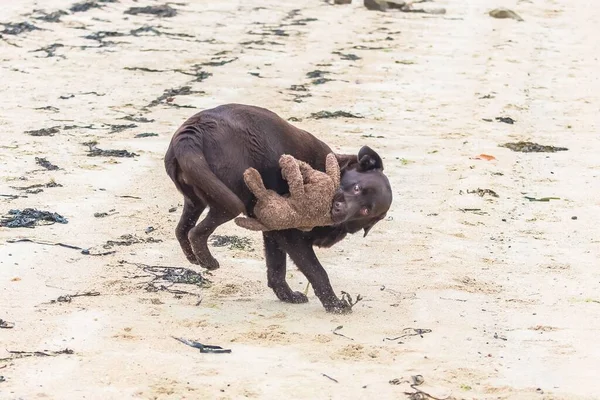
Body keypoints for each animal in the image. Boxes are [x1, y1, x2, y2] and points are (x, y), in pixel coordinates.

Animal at [164, 104, 392, 314]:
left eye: (366, 210)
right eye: (356, 188)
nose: (339, 209)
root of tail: (194, 131)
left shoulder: (274, 232)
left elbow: (276, 270)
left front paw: (287, 296)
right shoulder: (291, 234)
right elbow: (317, 271)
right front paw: (334, 304)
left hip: (197, 196)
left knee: (182, 229)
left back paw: (194, 257)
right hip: (229, 198)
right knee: (197, 231)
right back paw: (208, 260)